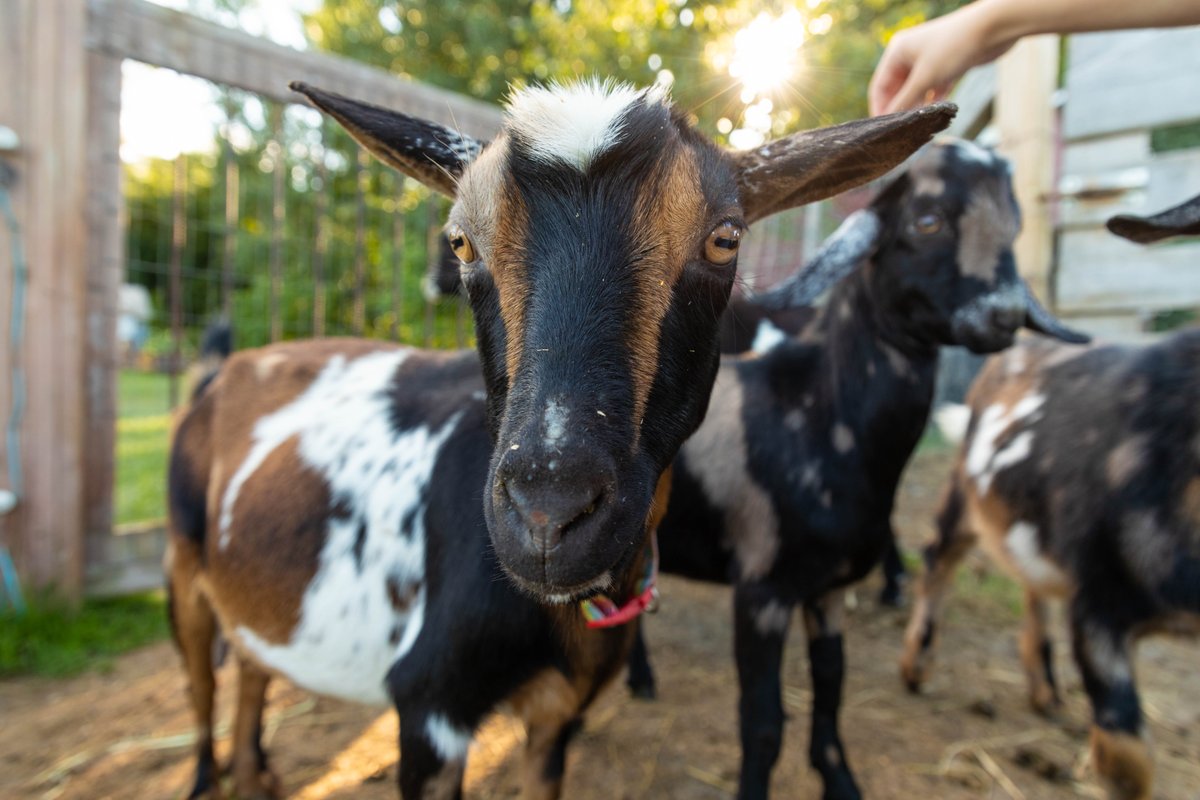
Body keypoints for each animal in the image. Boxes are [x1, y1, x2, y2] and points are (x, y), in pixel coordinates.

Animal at [168, 80, 953, 799]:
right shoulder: (428, 709)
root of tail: (222, 371)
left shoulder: (557, 716)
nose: (548, 515)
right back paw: (206, 774)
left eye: (725, 237)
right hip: (184, 571)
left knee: (250, 673)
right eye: (461, 240)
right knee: (203, 687)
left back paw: (256, 773)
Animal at [627, 139, 1088, 800]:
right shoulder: (762, 589)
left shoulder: (829, 590)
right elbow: (763, 722)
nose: (1002, 313)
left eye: (1015, 223)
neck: (821, 411)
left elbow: (831, 691)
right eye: (927, 220)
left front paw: (839, 778)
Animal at [900, 192, 1200, 800]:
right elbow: (1129, 762)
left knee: (1030, 581)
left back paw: (1044, 690)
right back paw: (916, 667)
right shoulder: (1100, 605)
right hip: (965, 493)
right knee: (938, 558)